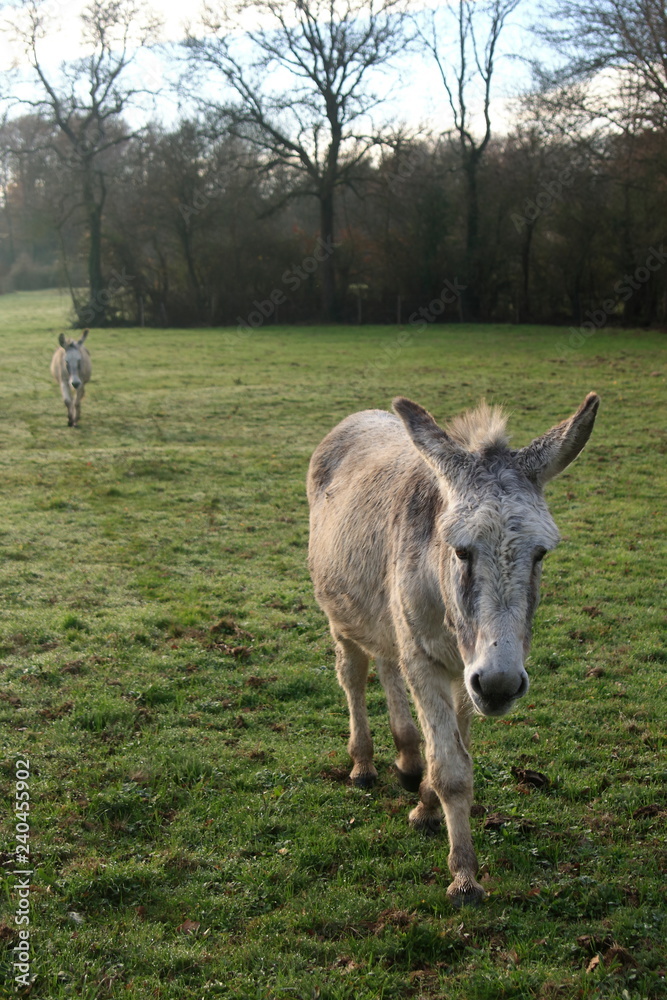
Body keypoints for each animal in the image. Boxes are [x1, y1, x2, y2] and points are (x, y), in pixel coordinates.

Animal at [307, 392, 599, 906]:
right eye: (461, 550)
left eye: (541, 554)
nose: (502, 686)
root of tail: (358, 417)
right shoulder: (431, 663)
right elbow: (452, 769)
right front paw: (463, 876)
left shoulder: (467, 673)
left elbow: (455, 748)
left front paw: (425, 804)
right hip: (339, 613)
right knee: (354, 674)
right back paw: (363, 763)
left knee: (386, 664)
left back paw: (406, 758)